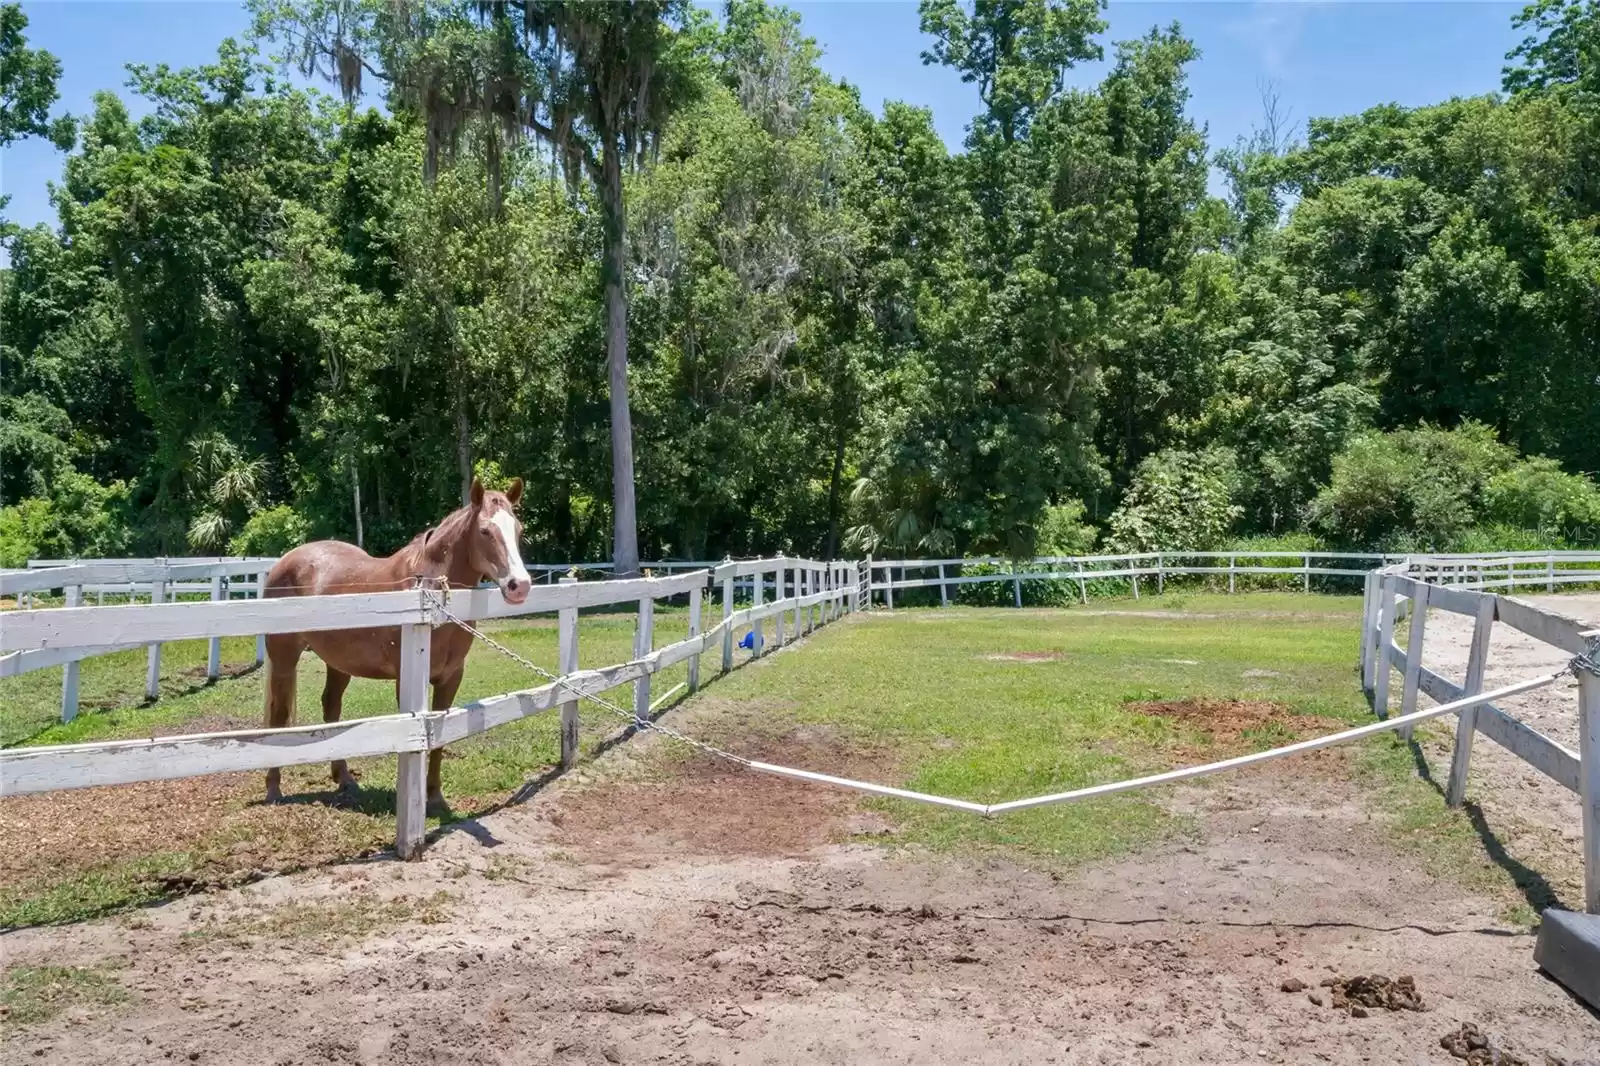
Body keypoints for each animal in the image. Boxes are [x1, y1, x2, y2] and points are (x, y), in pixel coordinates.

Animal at [262, 473, 531, 806]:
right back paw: (274, 788)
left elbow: (440, 738)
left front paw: (435, 796)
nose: (520, 585)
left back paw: (344, 779)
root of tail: (282, 563)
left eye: (518, 530)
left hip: (338, 663)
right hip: (284, 658)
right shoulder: (408, 680)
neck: (430, 593)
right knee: (278, 715)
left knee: (331, 706)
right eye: (485, 531)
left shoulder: (450, 678)